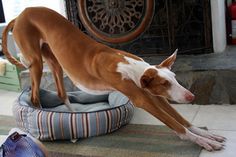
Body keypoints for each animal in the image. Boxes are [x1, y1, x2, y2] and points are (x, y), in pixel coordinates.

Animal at [2, 7, 227, 151]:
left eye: (174, 78)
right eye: (165, 83)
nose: (191, 97)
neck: (129, 66)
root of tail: (20, 15)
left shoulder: (153, 95)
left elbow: (182, 120)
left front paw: (207, 135)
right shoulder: (143, 99)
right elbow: (177, 125)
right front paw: (204, 142)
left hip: (55, 61)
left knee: (61, 93)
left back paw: (73, 122)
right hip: (36, 62)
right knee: (34, 98)